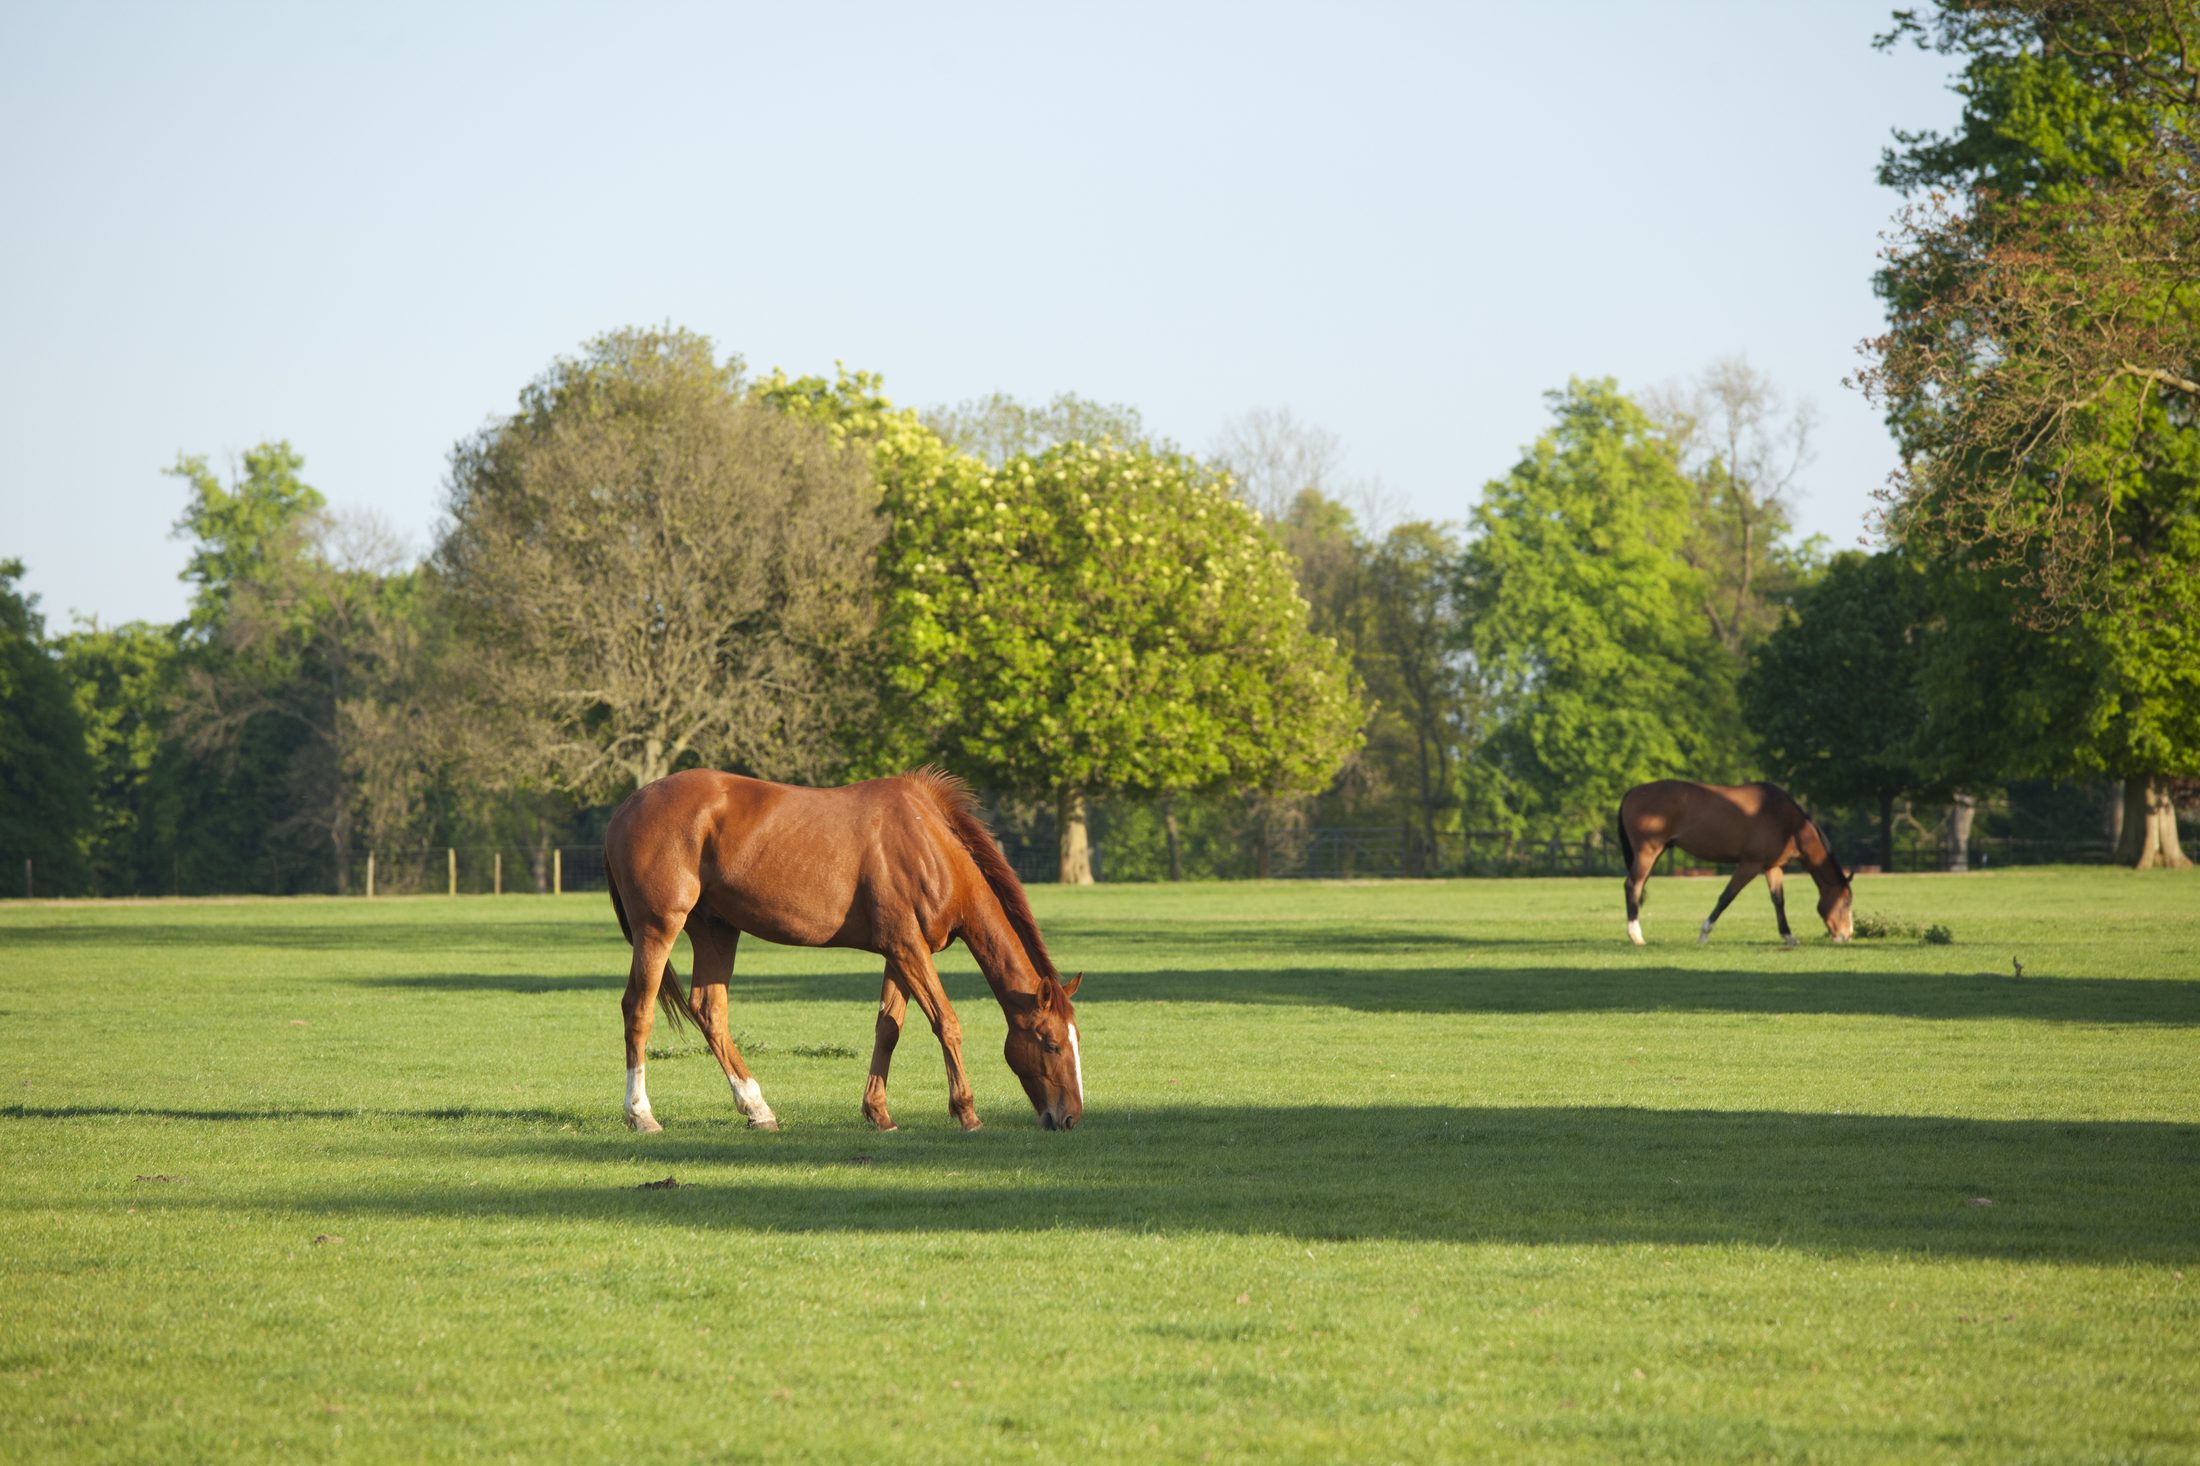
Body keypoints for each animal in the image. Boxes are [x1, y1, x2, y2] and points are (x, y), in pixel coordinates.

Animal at [603, 766, 1083, 1134]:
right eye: (1052, 1043)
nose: (1070, 1118)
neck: (929, 844)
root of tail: (625, 809)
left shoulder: (901, 952)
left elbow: (888, 1028)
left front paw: (879, 1113)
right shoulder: (907, 947)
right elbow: (947, 1023)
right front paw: (967, 1113)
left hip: (716, 931)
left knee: (709, 1012)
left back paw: (757, 1109)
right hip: (659, 927)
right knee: (638, 1009)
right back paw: (641, 1114)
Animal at [1616, 780, 1854, 947]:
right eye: (1846, 901)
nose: (1846, 935)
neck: (1785, 821)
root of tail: (1633, 792)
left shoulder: (1772, 867)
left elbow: (1778, 901)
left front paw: (1788, 936)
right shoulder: (1750, 865)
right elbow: (1727, 897)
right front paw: (1704, 934)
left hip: (1654, 854)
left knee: (1637, 887)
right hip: (1647, 852)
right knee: (1633, 886)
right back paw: (1636, 935)